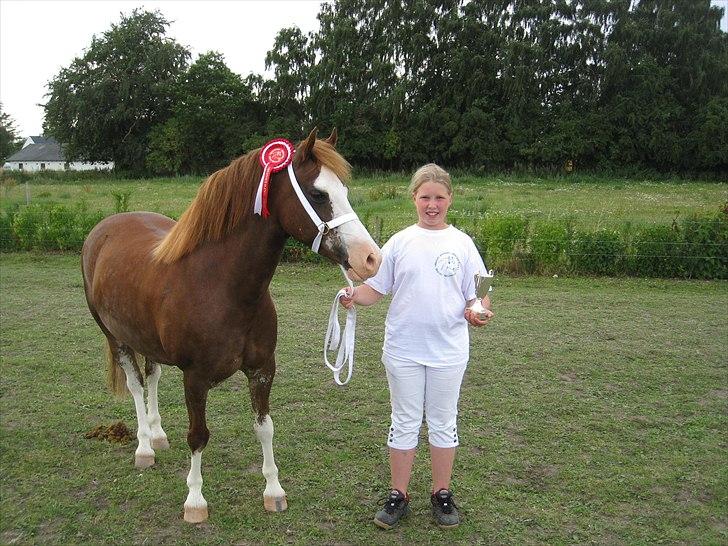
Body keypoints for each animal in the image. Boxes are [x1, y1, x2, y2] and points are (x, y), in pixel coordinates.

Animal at [81, 126, 382, 520]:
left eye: (344, 191)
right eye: (319, 194)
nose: (371, 258)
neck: (222, 286)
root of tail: (103, 229)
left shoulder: (262, 369)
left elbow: (265, 428)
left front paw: (274, 491)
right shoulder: (195, 378)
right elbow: (198, 435)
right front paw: (195, 501)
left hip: (146, 340)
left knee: (153, 377)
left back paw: (158, 435)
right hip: (115, 337)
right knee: (135, 386)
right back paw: (144, 447)